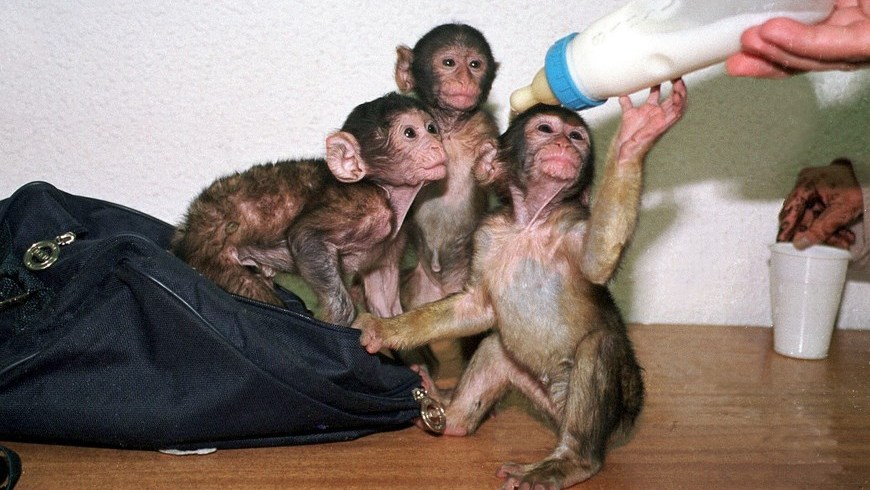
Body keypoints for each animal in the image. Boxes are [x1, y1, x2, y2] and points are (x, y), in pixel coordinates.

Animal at [172, 93, 447, 326]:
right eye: (410, 133)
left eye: (431, 129)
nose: (437, 146)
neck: (385, 190)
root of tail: (190, 224)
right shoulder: (366, 206)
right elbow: (306, 236)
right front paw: (338, 319)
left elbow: (384, 304)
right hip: (210, 253)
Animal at [354, 80, 687, 488]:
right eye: (545, 129)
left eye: (577, 136)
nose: (564, 143)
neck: (530, 224)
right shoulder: (487, 235)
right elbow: (473, 307)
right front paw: (384, 329)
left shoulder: (572, 225)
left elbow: (597, 263)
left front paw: (635, 137)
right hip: (542, 396)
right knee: (496, 349)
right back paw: (454, 419)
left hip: (618, 414)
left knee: (600, 345)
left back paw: (571, 461)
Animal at [395, 23, 500, 310]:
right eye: (449, 63)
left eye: (475, 64)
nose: (465, 79)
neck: (450, 127)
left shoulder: (485, 126)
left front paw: (489, 162)